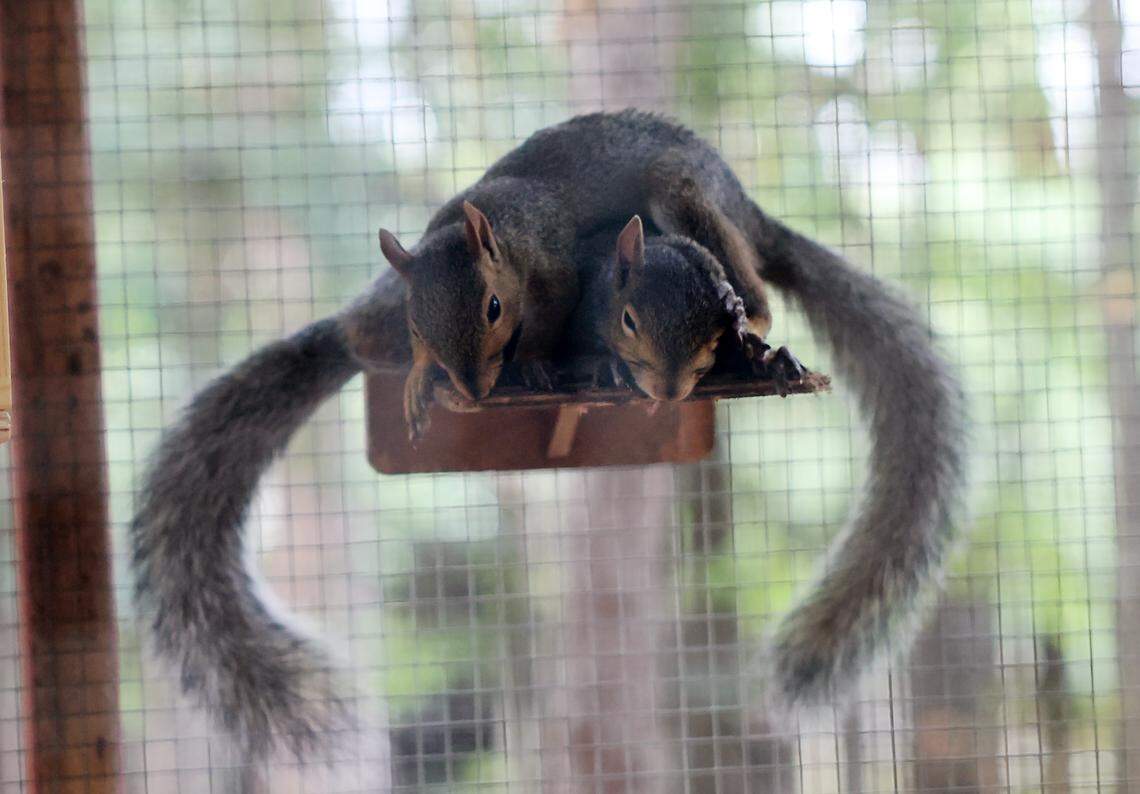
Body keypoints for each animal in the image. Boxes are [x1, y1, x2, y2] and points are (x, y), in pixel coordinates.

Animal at [132, 109, 965, 759]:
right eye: (423, 321)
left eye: (494, 309)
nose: (473, 387)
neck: (492, 224)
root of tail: (754, 212)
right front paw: (426, 378)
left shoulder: (557, 267)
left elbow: (555, 312)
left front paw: (537, 361)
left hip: (690, 197)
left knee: (752, 286)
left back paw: (755, 332)